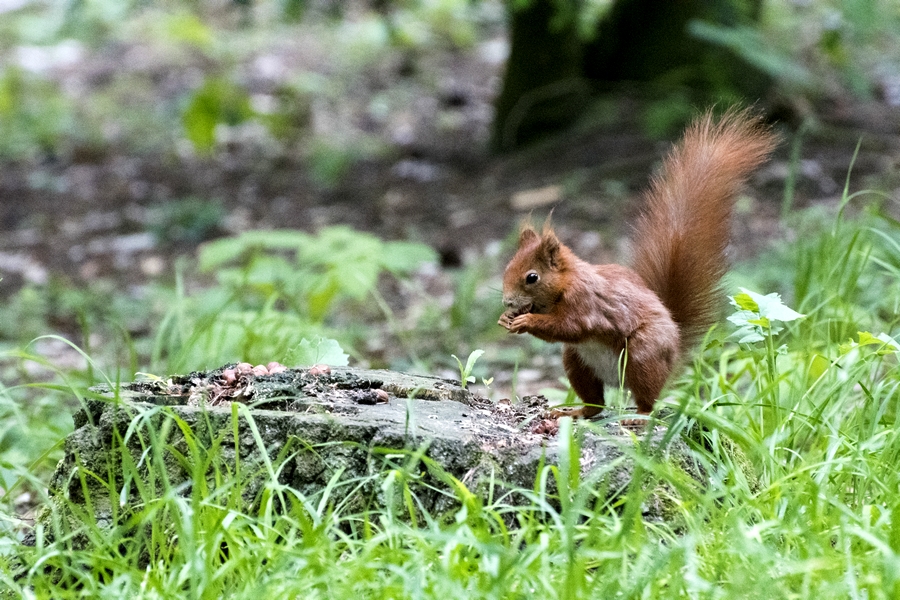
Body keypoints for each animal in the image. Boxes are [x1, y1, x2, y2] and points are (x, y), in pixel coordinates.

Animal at [496, 109, 776, 418]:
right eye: (507, 269)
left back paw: (638, 418)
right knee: (595, 404)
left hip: (642, 356)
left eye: (532, 277)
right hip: (576, 361)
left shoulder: (586, 302)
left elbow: (571, 327)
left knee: (648, 402)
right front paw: (506, 318)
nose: (508, 302)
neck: (563, 287)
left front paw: (526, 320)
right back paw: (575, 412)